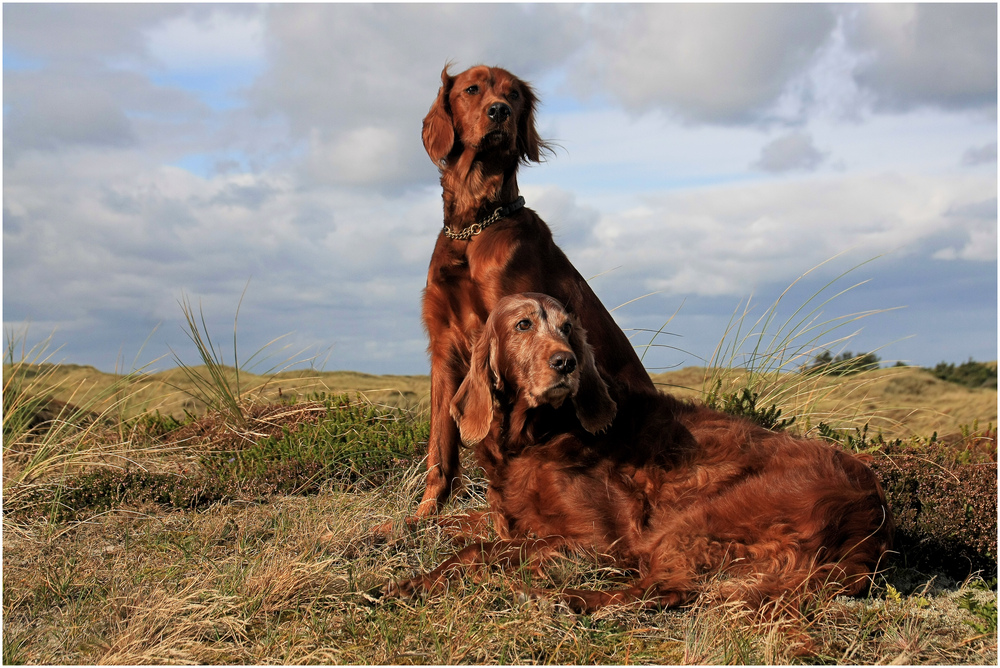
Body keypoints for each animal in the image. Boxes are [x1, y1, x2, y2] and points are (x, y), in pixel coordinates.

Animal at [386, 292, 896, 612]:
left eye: (567, 328)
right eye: (523, 324)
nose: (567, 363)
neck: (533, 438)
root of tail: (873, 509)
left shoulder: (600, 542)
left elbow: (485, 549)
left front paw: (424, 580)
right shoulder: (505, 515)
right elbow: (455, 527)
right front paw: (395, 547)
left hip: (693, 520)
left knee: (670, 588)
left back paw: (569, 600)